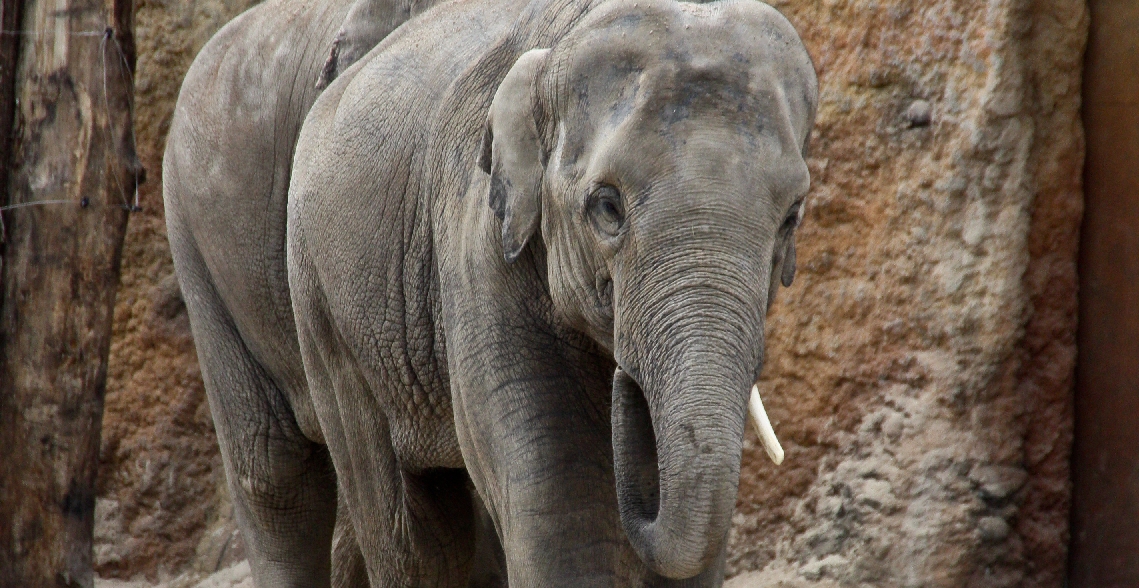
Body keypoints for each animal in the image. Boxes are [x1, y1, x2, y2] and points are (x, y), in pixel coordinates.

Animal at [165, 0, 815, 583]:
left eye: (792, 217)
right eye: (606, 207)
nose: (626, 382)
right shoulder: (475, 242)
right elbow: (557, 502)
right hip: (287, 282)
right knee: (325, 494)